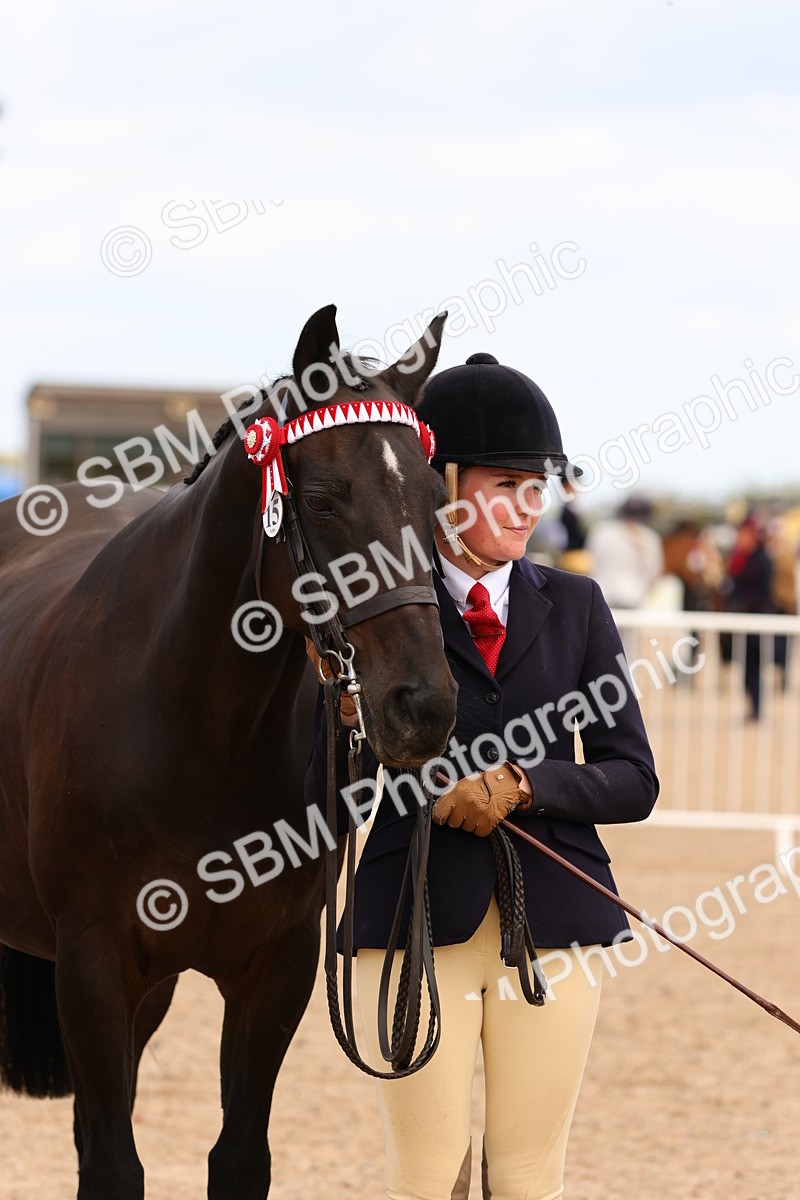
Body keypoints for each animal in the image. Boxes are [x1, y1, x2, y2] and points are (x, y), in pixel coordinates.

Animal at [0, 304, 458, 1199]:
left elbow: (238, 1157)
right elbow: (114, 1166)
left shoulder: (273, 968)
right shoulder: (93, 967)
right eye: (321, 499)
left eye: (433, 498)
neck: (197, 735)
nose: (424, 706)